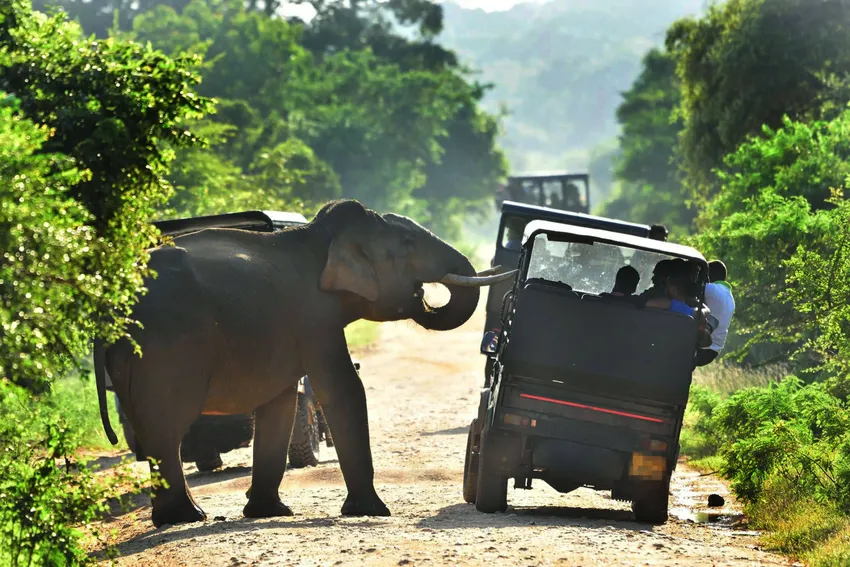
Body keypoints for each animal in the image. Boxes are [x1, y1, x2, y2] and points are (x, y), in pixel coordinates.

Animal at [95, 200, 512, 528]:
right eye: (408, 244)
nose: (424, 293)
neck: (320, 238)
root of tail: (109, 302)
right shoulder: (315, 317)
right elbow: (343, 387)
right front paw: (374, 512)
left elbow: (280, 402)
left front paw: (270, 513)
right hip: (164, 346)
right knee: (166, 427)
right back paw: (186, 517)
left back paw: (176, 518)